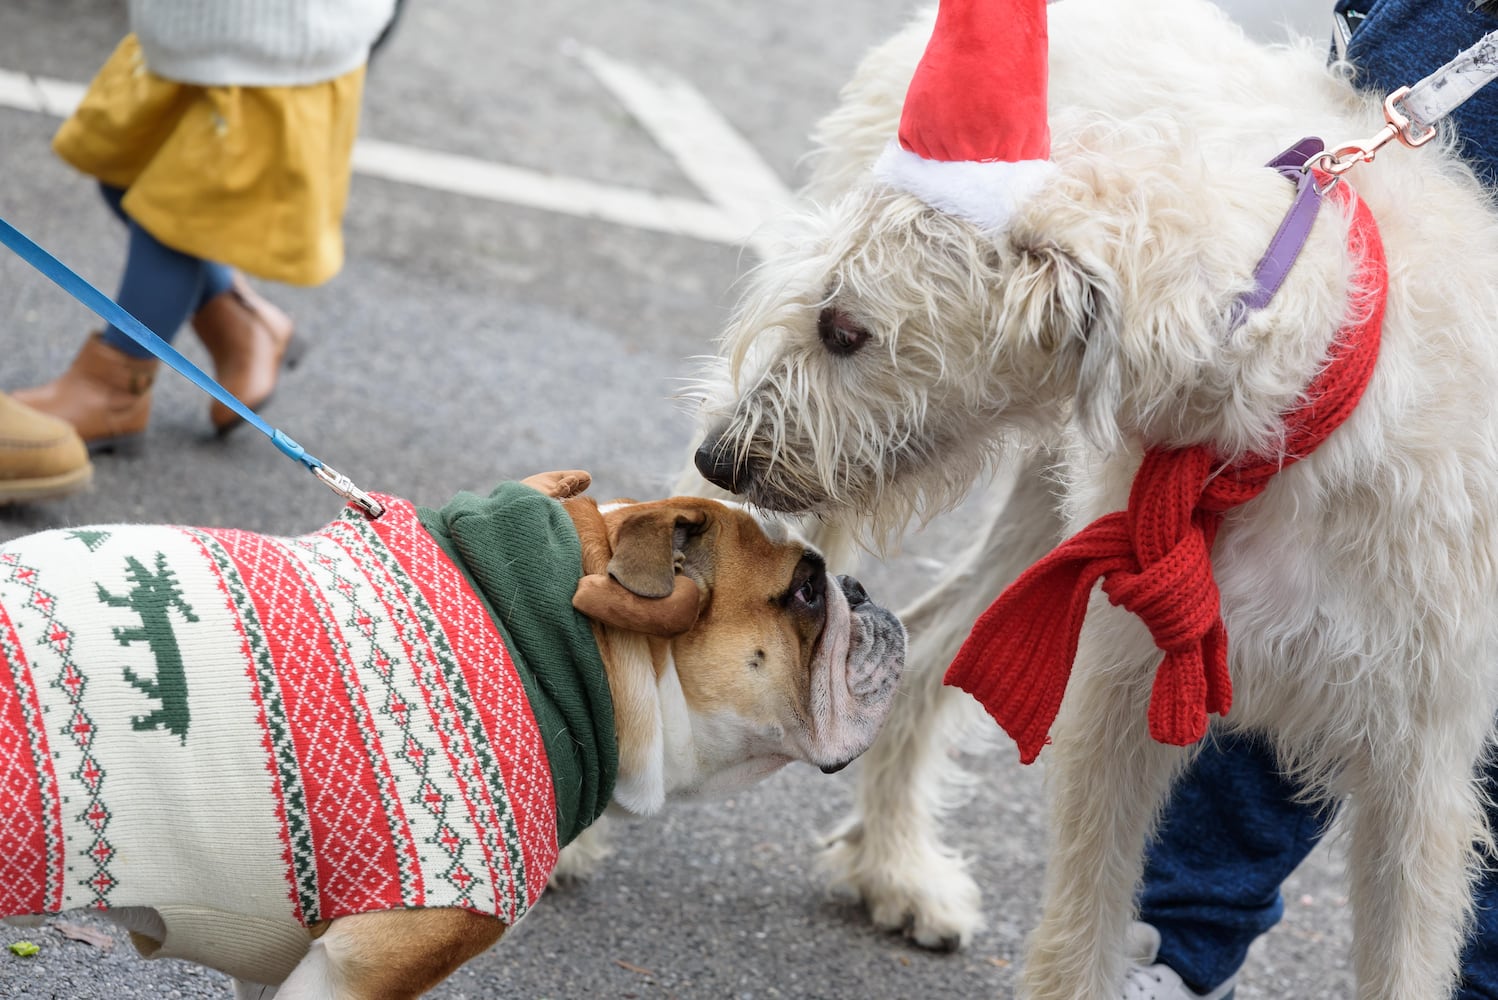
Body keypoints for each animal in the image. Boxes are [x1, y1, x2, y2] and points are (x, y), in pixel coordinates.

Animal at [692, 1, 1498, 999]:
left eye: (846, 331)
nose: (722, 456)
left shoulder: (1417, 770)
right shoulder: (1125, 688)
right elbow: (1084, 919)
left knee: (930, 639)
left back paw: (893, 864)